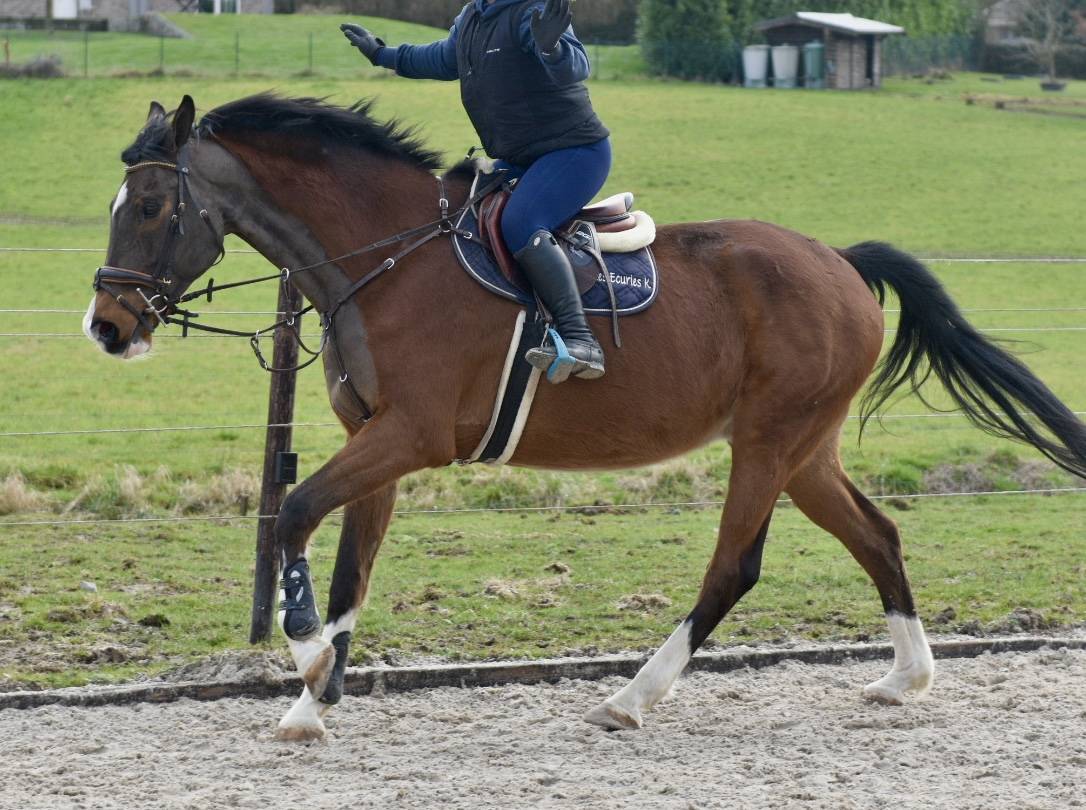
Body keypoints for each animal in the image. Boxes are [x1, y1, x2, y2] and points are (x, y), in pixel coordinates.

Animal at [85, 94, 1086, 741]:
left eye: (152, 205)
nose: (107, 327)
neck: (384, 260)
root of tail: (839, 260)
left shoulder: (409, 437)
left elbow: (293, 517)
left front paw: (299, 656)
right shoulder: (376, 444)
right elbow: (349, 574)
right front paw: (311, 701)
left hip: (769, 442)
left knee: (735, 567)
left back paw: (632, 699)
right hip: (806, 448)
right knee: (877, 535)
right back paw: (907, 679)